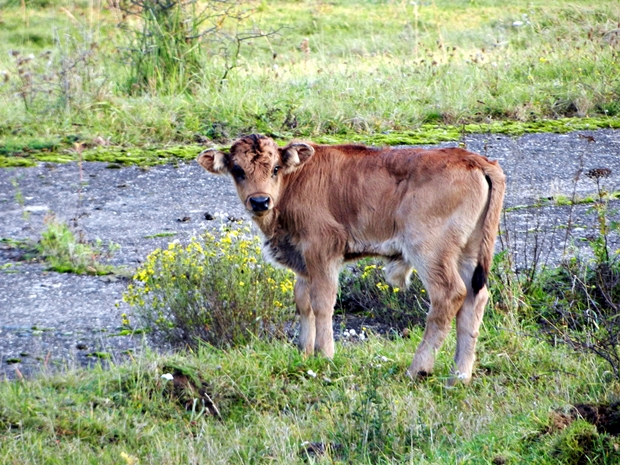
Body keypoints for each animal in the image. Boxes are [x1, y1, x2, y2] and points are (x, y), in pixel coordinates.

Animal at [196, 132, 506, 382]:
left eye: (275, 168)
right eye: (238, 170)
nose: (260, 201)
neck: (295, 180)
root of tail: (476, 160)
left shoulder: (322, 253)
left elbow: (322, 303)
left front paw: (324, 355)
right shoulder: (303, 263)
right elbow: (303, 302)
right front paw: (304, 353)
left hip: (429, 252)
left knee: (449, 296)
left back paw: (417, 370)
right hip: (468, 252)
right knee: (474, 300)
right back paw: (459, 376)